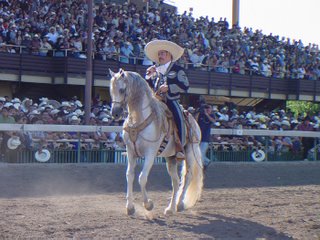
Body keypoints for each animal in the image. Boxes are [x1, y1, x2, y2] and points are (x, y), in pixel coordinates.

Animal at [109, 68, 201, 215]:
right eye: (111, 90)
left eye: (122, 90)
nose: (115, 113)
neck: (139, 118)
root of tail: (193, 119)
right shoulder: (131, 152)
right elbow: (130, 175)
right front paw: (130, 207)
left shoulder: (150, 154)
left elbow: (142, 178)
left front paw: (148, 204)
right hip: (171, 158)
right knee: (176, 181)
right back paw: (170, 208)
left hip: (190, 152)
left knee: (188, 177)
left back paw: (180, 204)